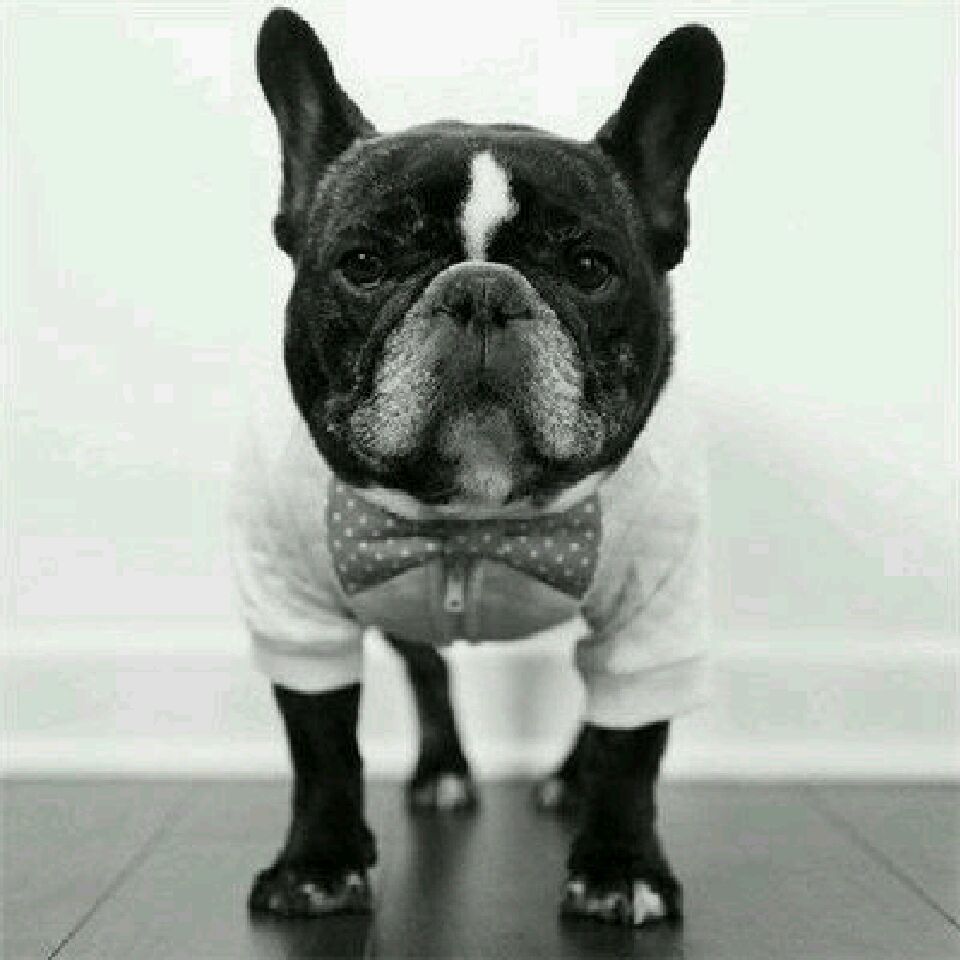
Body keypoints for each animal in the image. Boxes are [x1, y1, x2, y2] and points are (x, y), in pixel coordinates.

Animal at [229, 7, 723, 926]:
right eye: (363, 264)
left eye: (591, 269)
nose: (482, 290)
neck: (472, 523)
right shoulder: (298, 609)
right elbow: (320, 744)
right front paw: (318, 864)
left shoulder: (654, 610)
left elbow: (633, 746)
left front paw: (620, 867)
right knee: (427, 671)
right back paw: (443, 773)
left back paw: (567, 783)